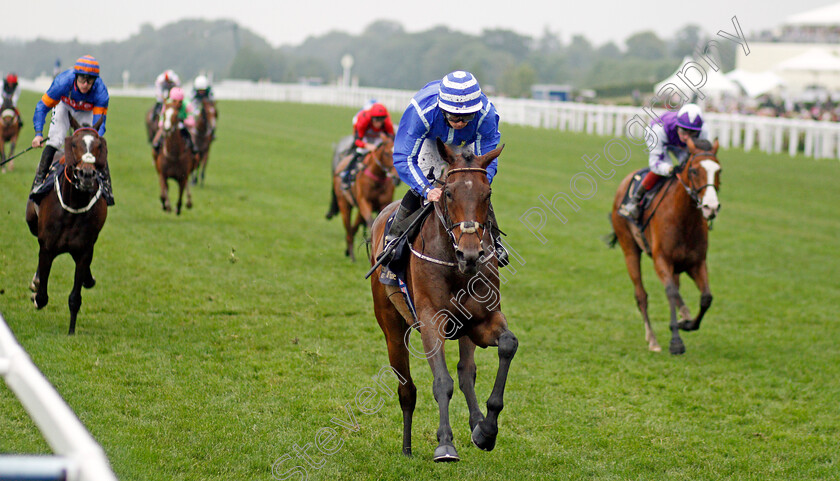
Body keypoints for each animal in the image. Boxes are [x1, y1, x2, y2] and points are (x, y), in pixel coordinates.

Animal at [25, 116, 110, 334]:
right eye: (74, 144)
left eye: (99, 146)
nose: (87, 175)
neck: (74, 205)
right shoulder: (47, 247)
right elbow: (42, 296)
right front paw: (37, 292)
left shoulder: (84, 251)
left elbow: (75, 298)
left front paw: (71, 332)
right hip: (32, 222)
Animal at [370, 139, 516, 462]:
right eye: (448, 193)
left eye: (487, 194)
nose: (470, 254)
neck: (455, 267)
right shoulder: (431, 320)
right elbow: (442, 382)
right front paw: (446, 444)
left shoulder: (483, 320)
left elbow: (507, 345)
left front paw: (487, 430)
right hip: (391, 327)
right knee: (407, 389)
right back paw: (407, 448)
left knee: (466, 372)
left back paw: (477, 425)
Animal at [612, 137, 720, 354]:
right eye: (694, 171)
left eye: (719, 170)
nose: (711, 207)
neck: (684, 219)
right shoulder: (661, 260)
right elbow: (670, 292)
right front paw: (676, 342)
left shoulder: (696, 262)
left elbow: (706, 297)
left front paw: (686, 323)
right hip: (629, 248)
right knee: (641, 295)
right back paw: (652, 340)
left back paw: (684, 315)